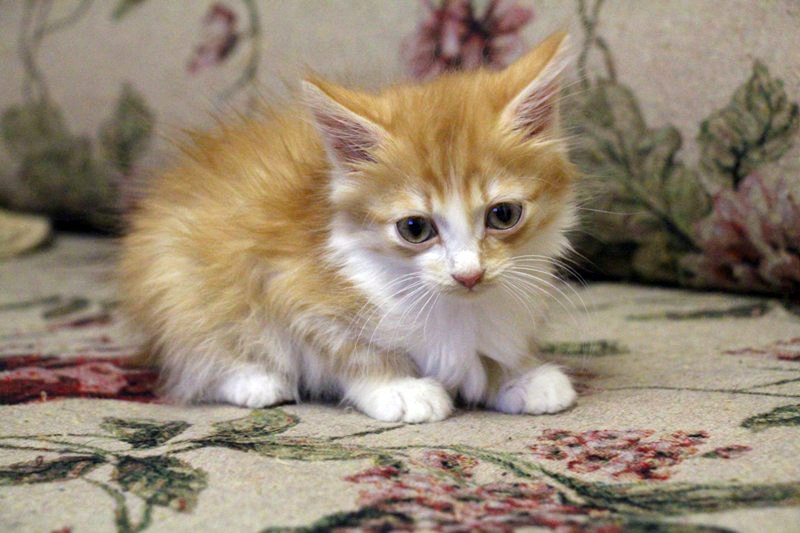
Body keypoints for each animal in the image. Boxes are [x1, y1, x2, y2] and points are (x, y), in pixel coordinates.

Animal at [119, 31, 578, 423]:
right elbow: (350, 351)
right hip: (179, 279)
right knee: (199, 345)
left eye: (503, 215)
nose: (469, 275)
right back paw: (256, 380)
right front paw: (399, 387)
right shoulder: (286, 283)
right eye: (415, 228)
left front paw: (521, 376)